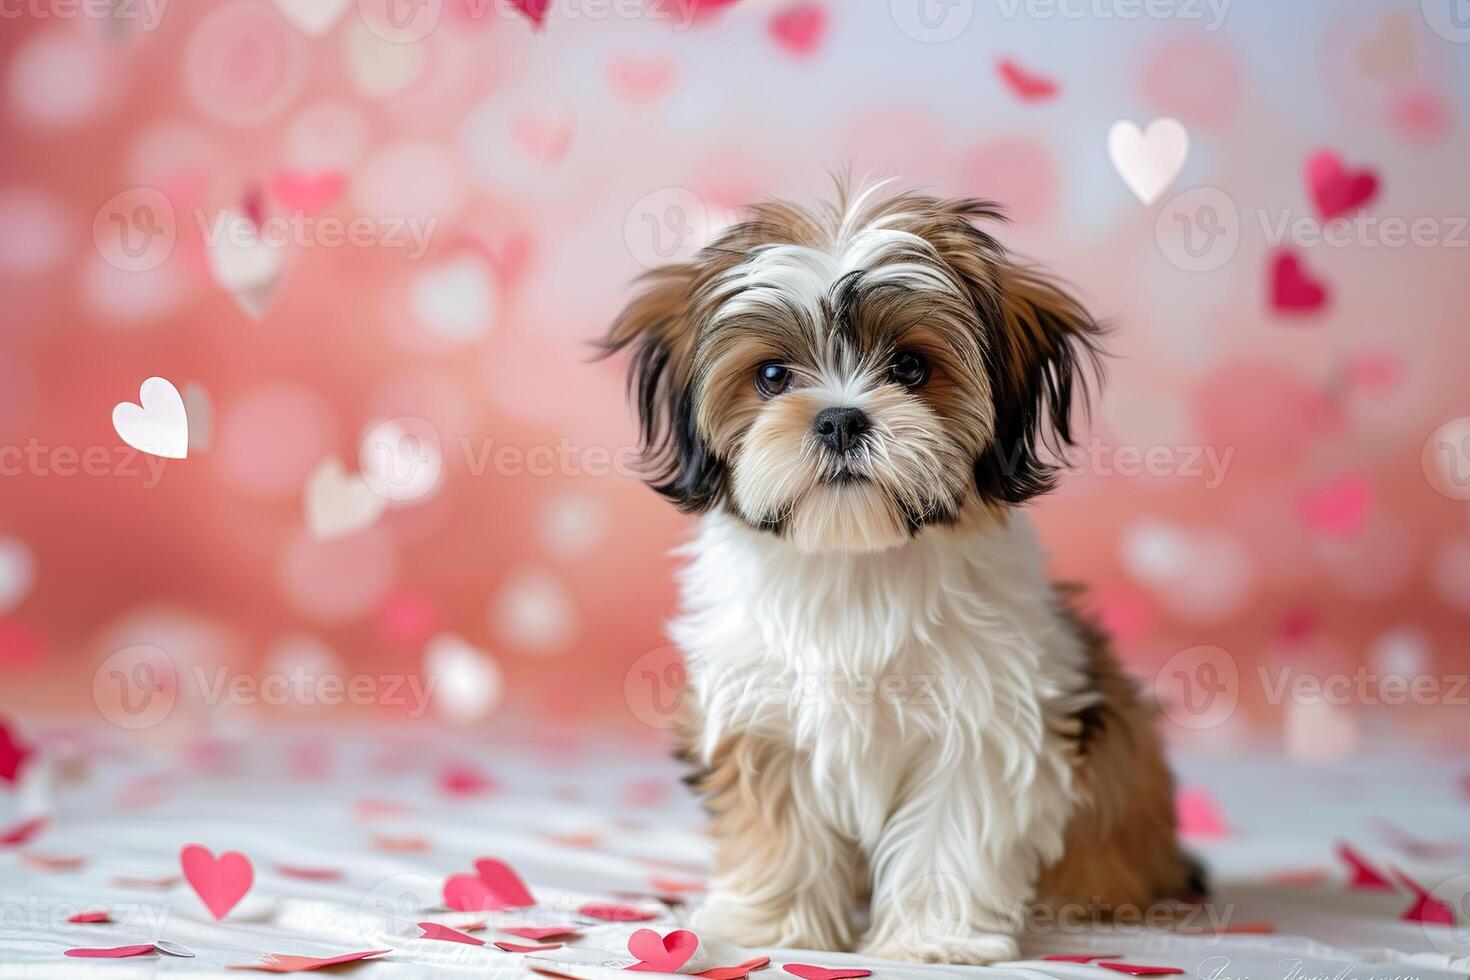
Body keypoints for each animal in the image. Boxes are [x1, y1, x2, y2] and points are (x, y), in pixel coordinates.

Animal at [602, 183, 1199, 963]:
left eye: (911, 369)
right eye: (772, 376)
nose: (839, 420)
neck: (856, 561)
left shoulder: (986, 723)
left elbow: (949, 830)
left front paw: (930, 942)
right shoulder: (763, 713)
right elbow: (781, 831)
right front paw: (775, 928)